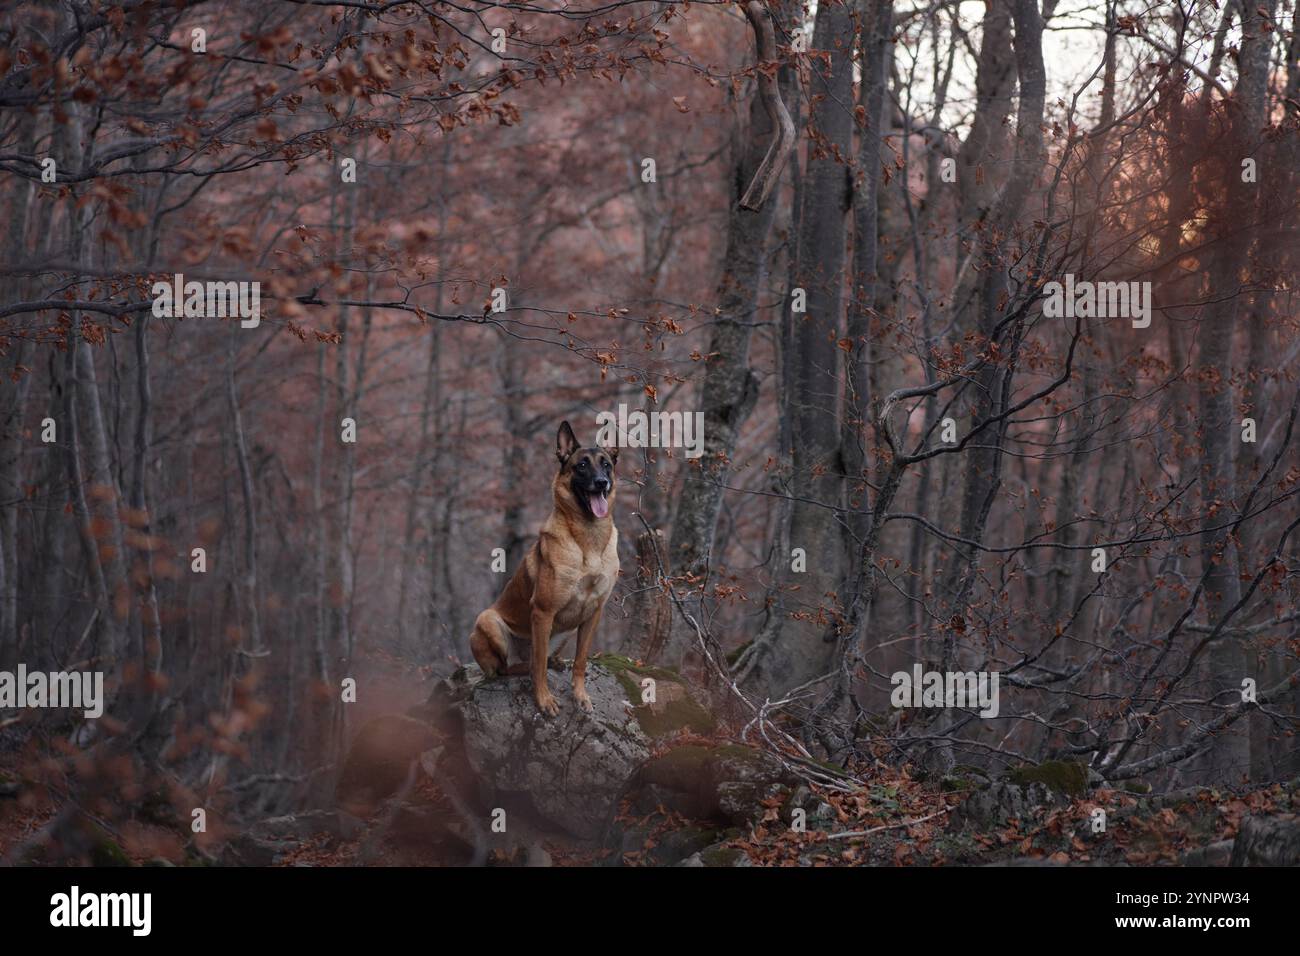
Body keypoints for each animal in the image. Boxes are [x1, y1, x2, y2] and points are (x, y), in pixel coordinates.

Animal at [473, 421, 618, 712]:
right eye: (581, 465)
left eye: (606, 465)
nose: (602, 482)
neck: (589, 538)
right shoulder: (542, 612)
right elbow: (537, 666)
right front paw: (544, 700)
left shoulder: (593, 613)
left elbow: (581, 661)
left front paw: (580, 695)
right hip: (488, 620)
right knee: (512, 667)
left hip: (564, 630)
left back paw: (556, 662)